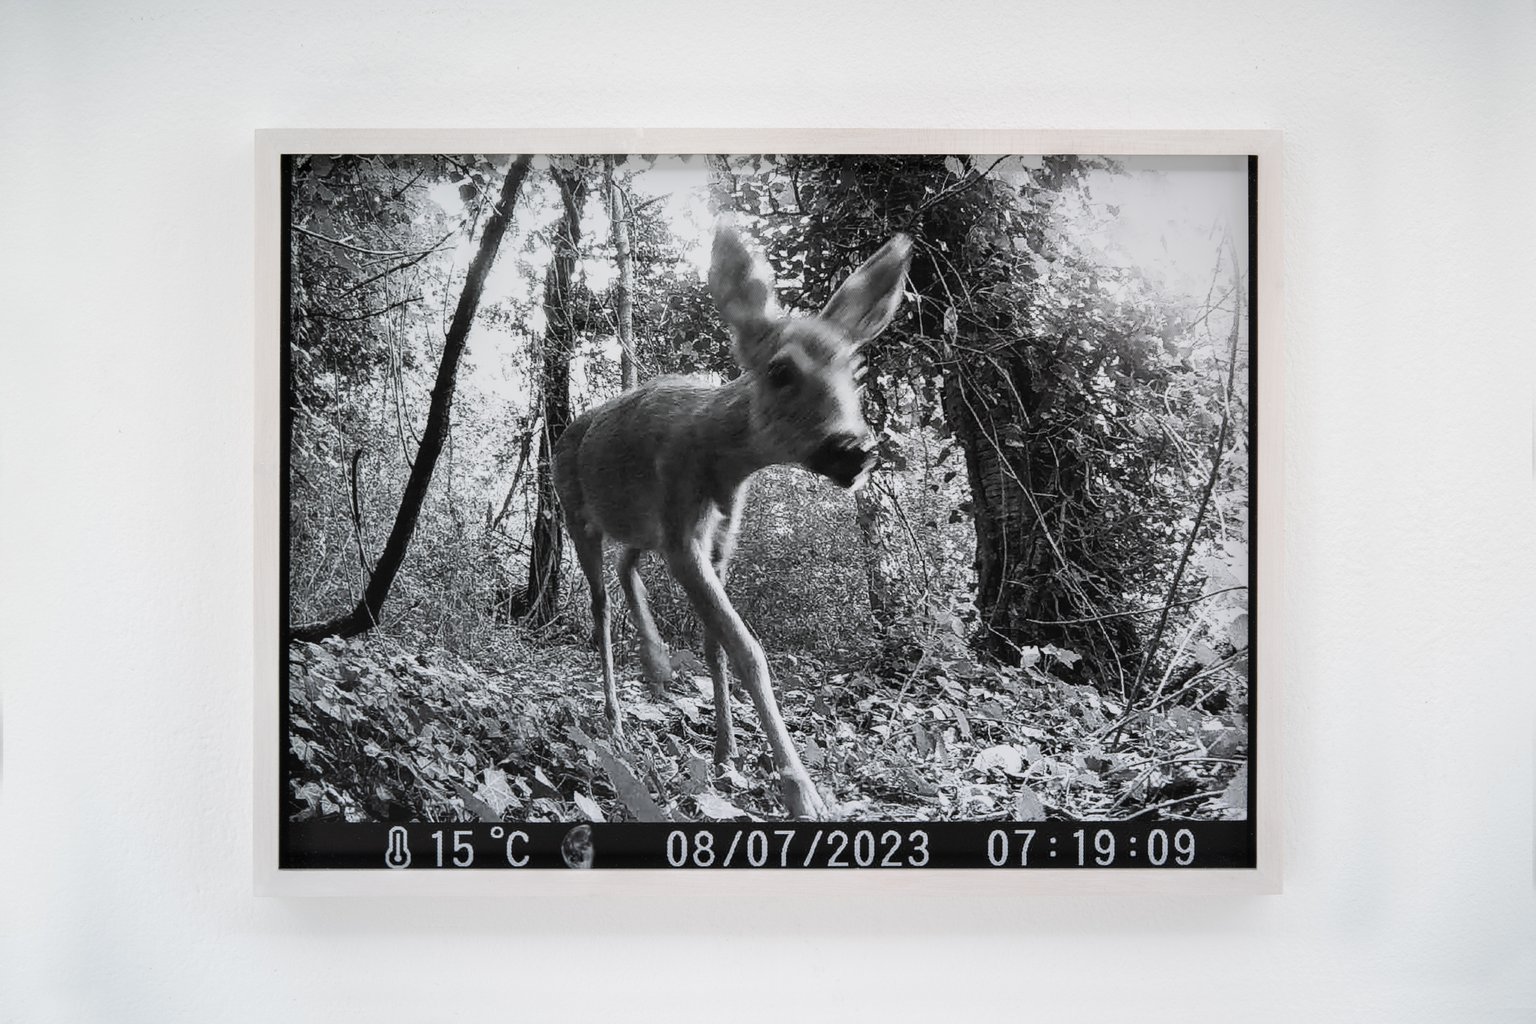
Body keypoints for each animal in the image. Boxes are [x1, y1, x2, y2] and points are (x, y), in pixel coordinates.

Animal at [552, 221, 913, 820]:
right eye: (780, 369)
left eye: (857, 370)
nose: (855, 451)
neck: (719, 460)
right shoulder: (684, 531)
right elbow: (748, 650)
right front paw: (801, 792)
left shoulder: (718, 536)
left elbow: (715, 645)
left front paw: (726, 756)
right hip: (578, 516)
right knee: (599, 609)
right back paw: (616, 720)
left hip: (644, 525)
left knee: (628, 563)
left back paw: (657, 664)